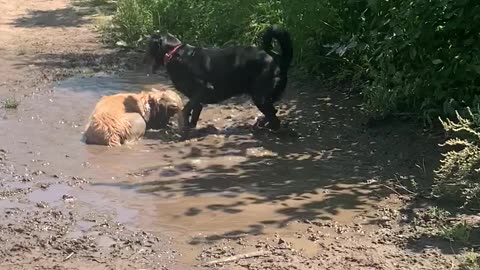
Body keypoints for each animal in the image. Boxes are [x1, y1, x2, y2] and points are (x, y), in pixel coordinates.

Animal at [143, 24, 292, 130]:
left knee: (274, 117)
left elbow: (186, 110)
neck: (175, 53)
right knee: (273, 112)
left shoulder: (204, 88)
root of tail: (279, 61)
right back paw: (261, 123)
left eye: (149, 45)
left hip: (260, 97)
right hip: (264, 97)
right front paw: (190, 127)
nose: (144, 58)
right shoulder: (197, 98)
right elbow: (194, 111)